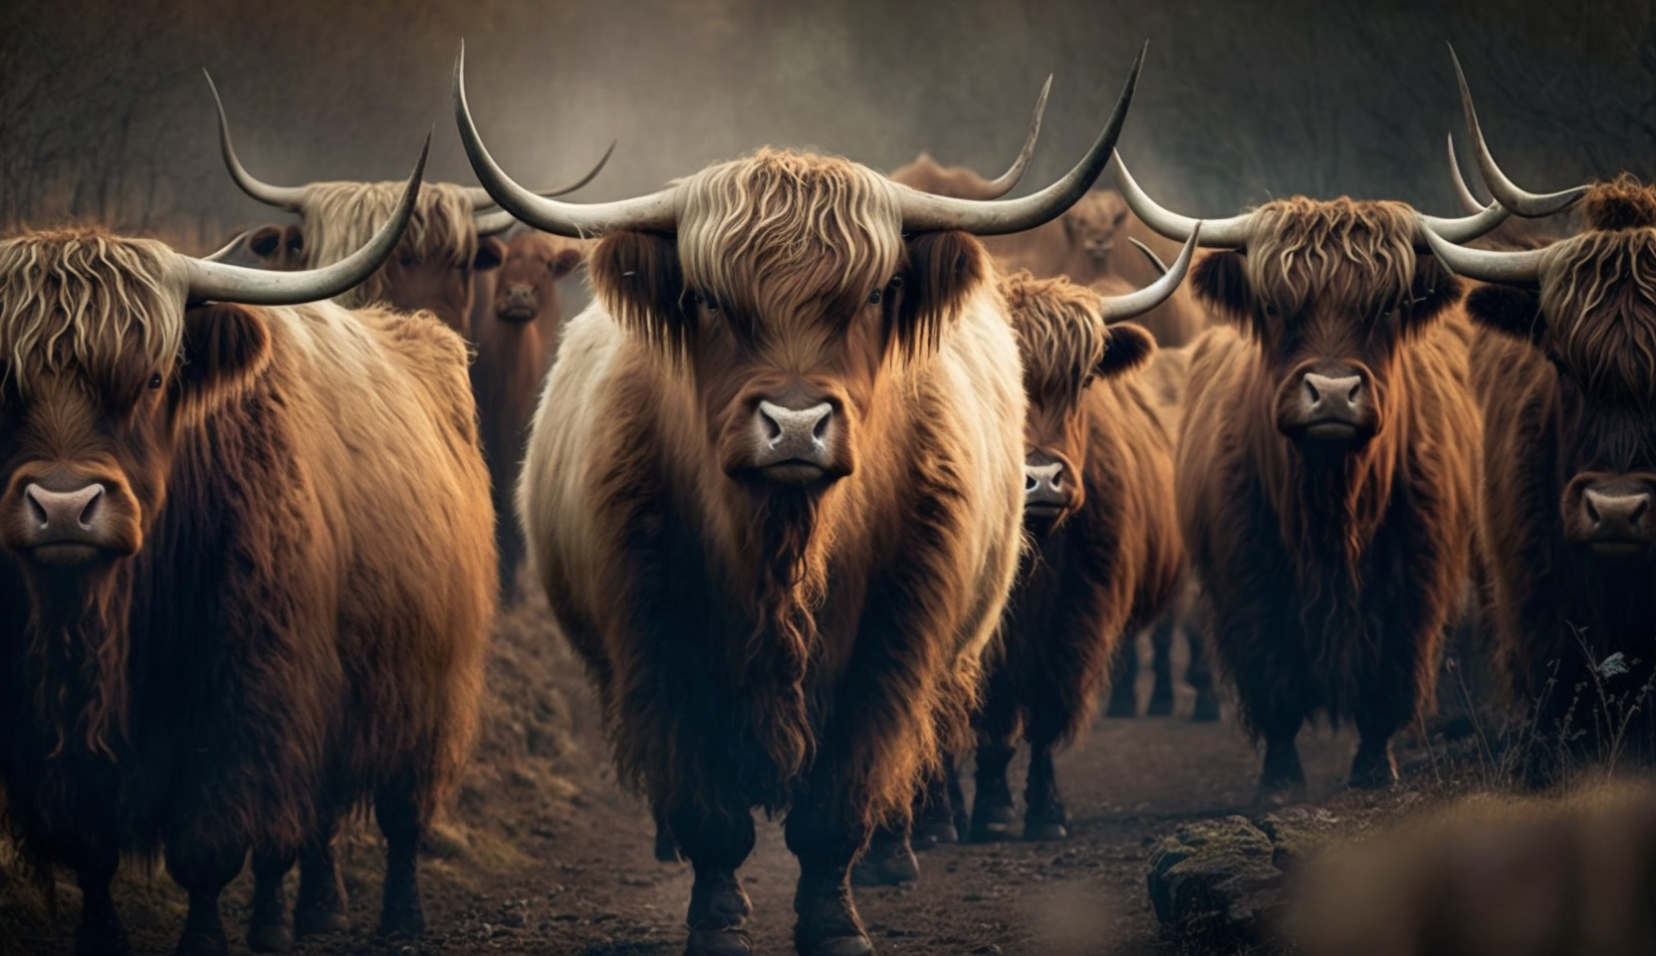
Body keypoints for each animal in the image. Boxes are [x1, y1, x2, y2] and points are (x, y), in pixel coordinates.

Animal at [0, 152, 496, 956]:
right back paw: (303, 915)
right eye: (1, 383)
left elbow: (211, 847)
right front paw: (100, 936)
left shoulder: (247, 702)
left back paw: (397, 917)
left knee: (395, 816)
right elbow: (91, 851)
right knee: (307, 827)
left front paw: (205, 939)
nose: (65, 507)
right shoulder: (46, 732)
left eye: (154, 378)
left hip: (424, 690)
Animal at [456, 42, 1145, 956]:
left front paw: (836, 920)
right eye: (710, 299)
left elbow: (843, 795)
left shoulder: (895, 639)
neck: (781, 548)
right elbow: (707, 804)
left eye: (875, 294)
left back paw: (899, 852)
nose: (793, 425)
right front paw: (717, 918)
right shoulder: (656, 639)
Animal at [1112, 150, 1501, 805]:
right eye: (1274, 307)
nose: (1334, 393)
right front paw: (1280, 781)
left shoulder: (1416, 582)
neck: (1332, 506)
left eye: (1387, 307)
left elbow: (1388, 681)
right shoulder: (1248, 581)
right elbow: (1276, 680)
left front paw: (1375, 768)